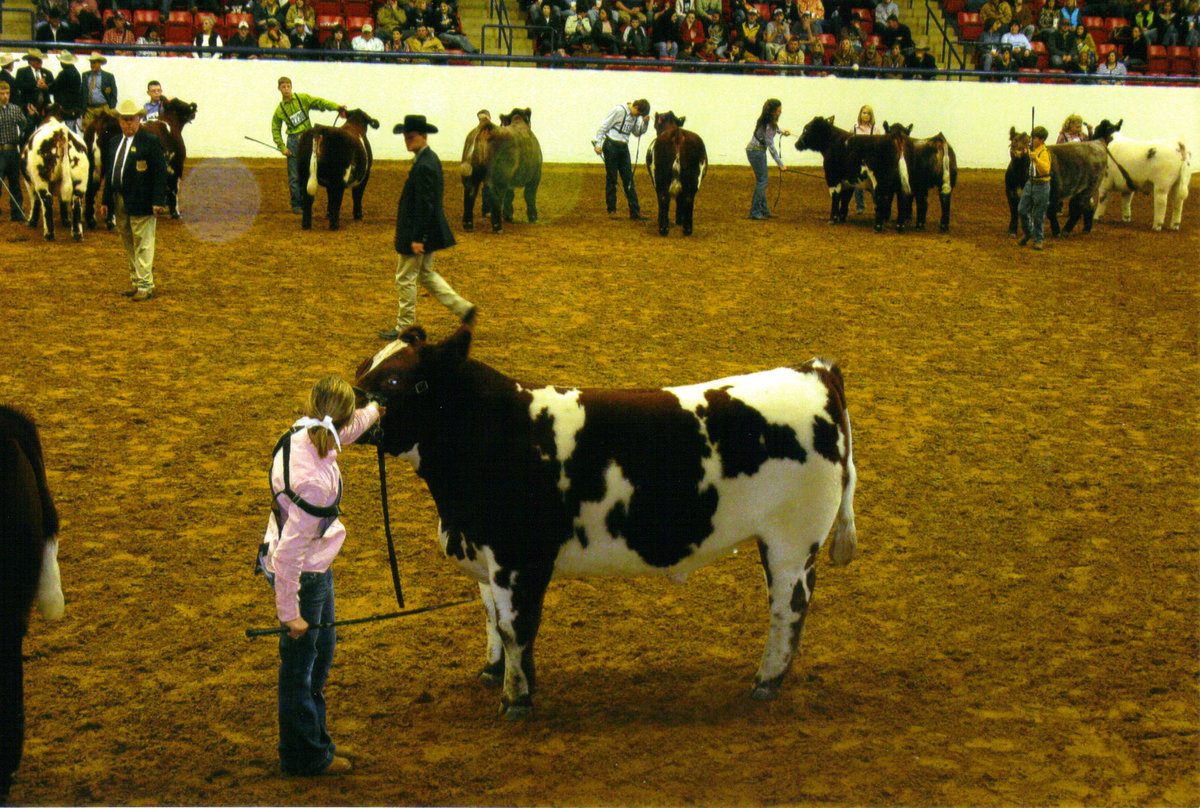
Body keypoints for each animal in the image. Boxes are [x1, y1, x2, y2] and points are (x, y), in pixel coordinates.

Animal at [350, 324, 859, 715]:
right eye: (364, 367)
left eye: (394, 381)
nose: (348, 402)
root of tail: (815, 372)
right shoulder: (486, 556)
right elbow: (493, 618)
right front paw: (495, 672)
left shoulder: (518, 558)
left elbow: (516, 625)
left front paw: (516, 699)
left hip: (792, 540)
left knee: (788, 607)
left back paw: (766, 680)